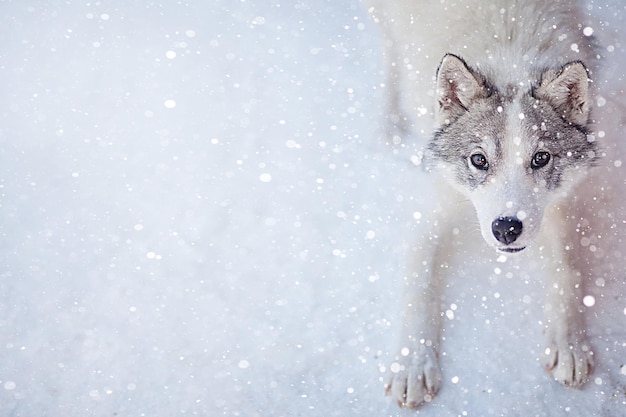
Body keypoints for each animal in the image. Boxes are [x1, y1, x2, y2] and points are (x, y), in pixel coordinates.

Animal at [368, 0, 596, 408]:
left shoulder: (556, 208)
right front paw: (412, 365)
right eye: (479, 160)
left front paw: (569, 345)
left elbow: (568, 269)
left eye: (541, 158)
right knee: (390, 52)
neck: (509, 63)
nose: (507, 228)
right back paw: (389, 124)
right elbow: (418, 287)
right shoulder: (430, 208)